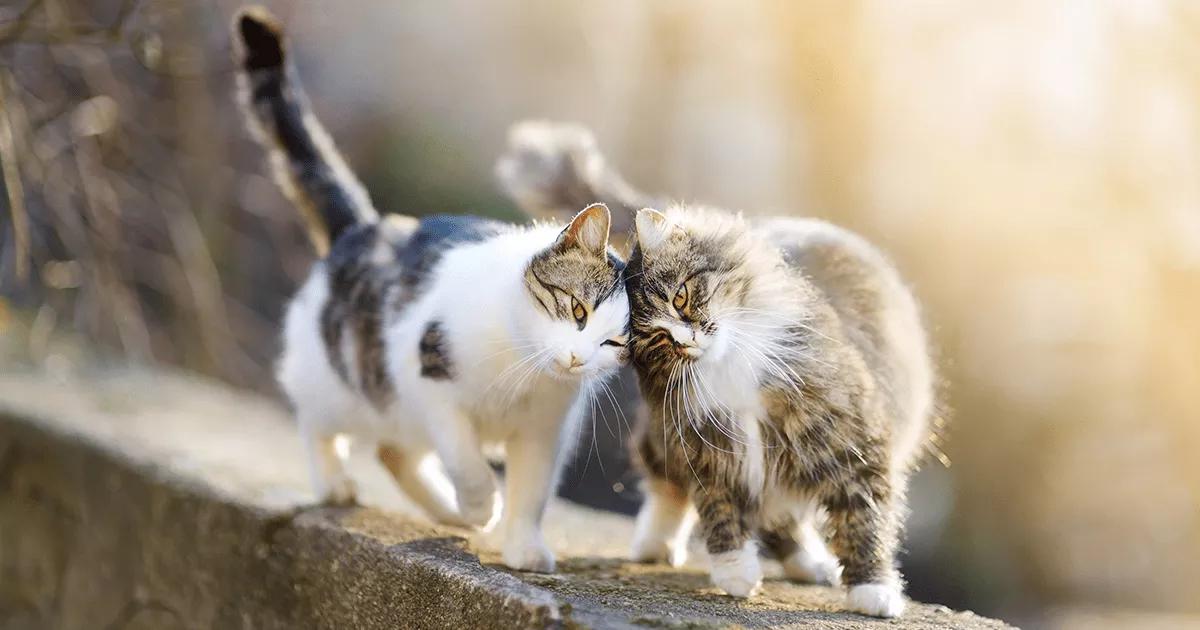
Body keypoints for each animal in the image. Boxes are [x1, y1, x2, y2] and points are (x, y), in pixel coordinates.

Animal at [230, 8, 633, 568]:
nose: (577, 359)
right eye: (577, 309)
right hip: (348, 383)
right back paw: (337, 482)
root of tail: (365, 225)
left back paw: (446, 511)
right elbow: (466, 460)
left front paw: (521, 545)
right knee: (317, 419)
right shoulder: (429, 378)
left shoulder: (544, 432)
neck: (523, 369)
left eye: (614, 342)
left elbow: (532, 492)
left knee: (393, 450)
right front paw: (483, 506)